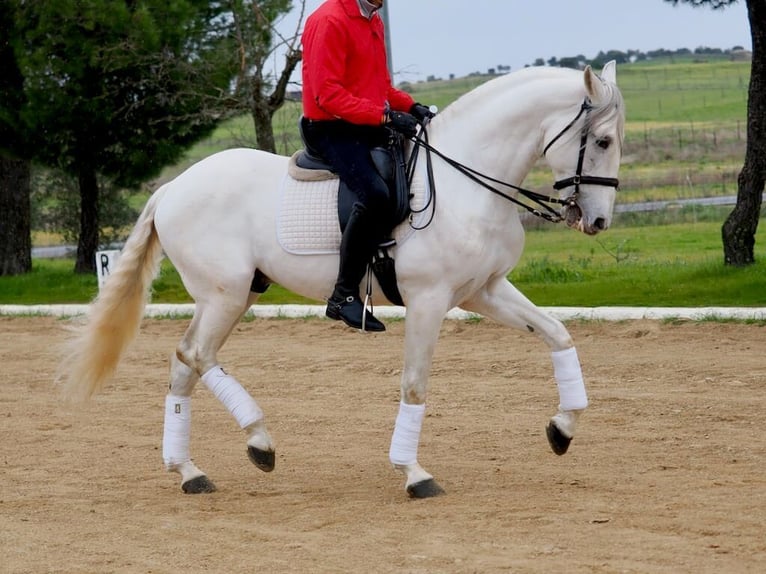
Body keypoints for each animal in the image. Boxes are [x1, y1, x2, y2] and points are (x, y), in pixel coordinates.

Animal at [58, 62, 624, 500]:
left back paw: (189, 471)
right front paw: (414, 473)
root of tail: (173, 187)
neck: (467, 182)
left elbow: (557, 333)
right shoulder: (429, 300)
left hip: (231, 295)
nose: (597, 221)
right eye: (601, 140)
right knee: (196, 355)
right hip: (225, 295)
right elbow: (415, 383)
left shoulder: (483, 291)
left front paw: (562, 429)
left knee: (186, 362)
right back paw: (259, 441)